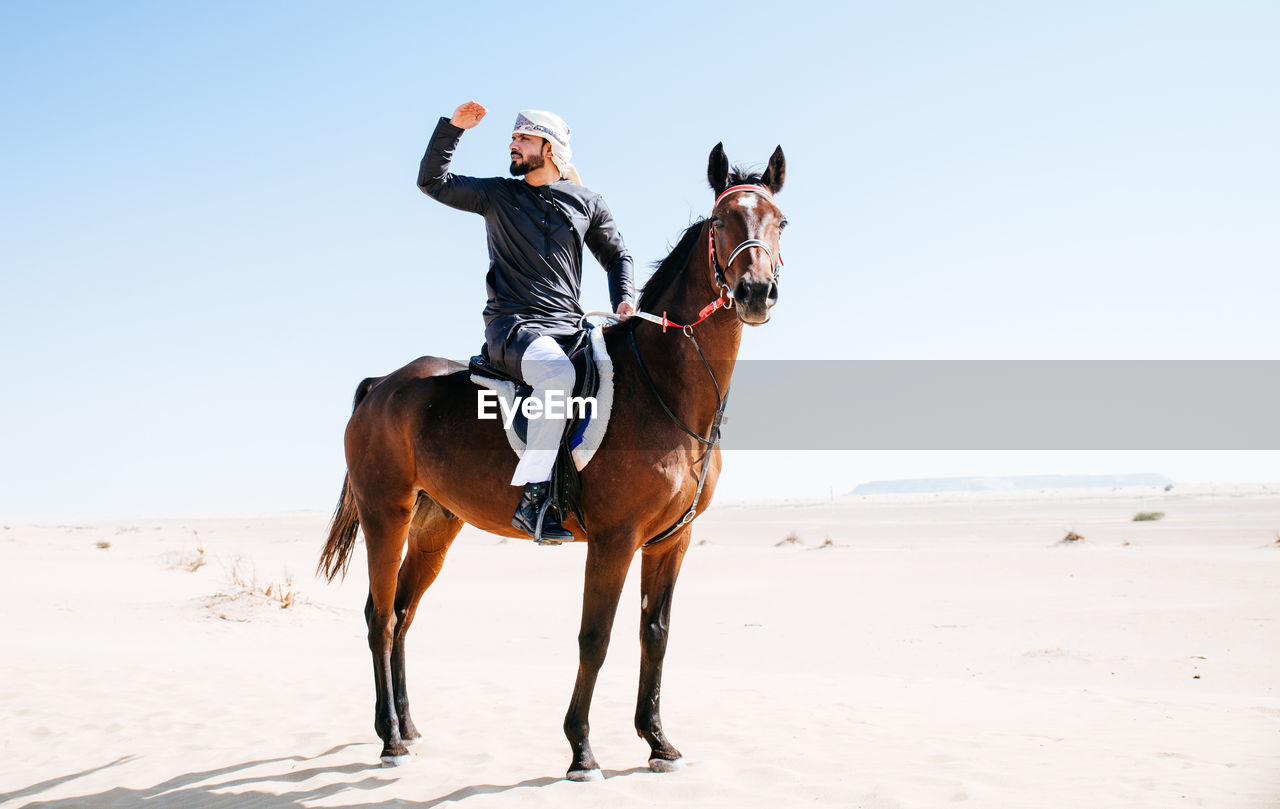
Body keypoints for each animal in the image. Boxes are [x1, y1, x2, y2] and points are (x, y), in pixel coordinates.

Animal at [314, 142, 783, 778]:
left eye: (780, 222)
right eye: (721, 222)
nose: (756, 292)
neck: (661, 385)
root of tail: (382, 386)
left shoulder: (671, 541)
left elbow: (654, 634)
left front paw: (658, 740)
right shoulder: (615, 539)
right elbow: (596, 637)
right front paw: (581, 748)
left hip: (435, 526)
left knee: (404, 613)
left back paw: (407, 727)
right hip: (385, 515)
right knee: (381, 617)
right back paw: (388, 738)